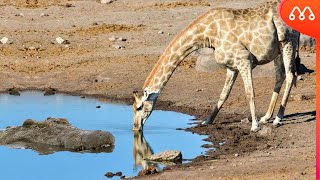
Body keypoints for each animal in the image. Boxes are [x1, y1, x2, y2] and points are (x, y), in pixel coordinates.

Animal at [132, 0, 300, 132]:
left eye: (139, 106)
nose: (135, 127)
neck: (207, 34)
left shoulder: (244, 59)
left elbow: (249, 93)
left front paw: (254, 126)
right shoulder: (232, 66)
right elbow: (224, 94)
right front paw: (207, 121)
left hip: (288, 41)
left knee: (290, 75)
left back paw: (278, 119)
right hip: (278, 49)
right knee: (280, 76)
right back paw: (266, 117)